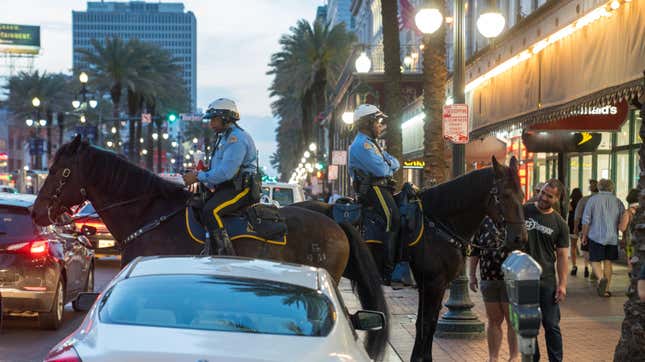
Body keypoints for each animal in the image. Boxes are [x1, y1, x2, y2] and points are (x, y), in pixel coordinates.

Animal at [294, 157, 524, 360]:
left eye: (522, 194)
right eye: (504, 195)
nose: (520, 238)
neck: (438, 223)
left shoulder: (436, 285)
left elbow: (429, 323)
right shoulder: (432, 283)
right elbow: (425, 324)